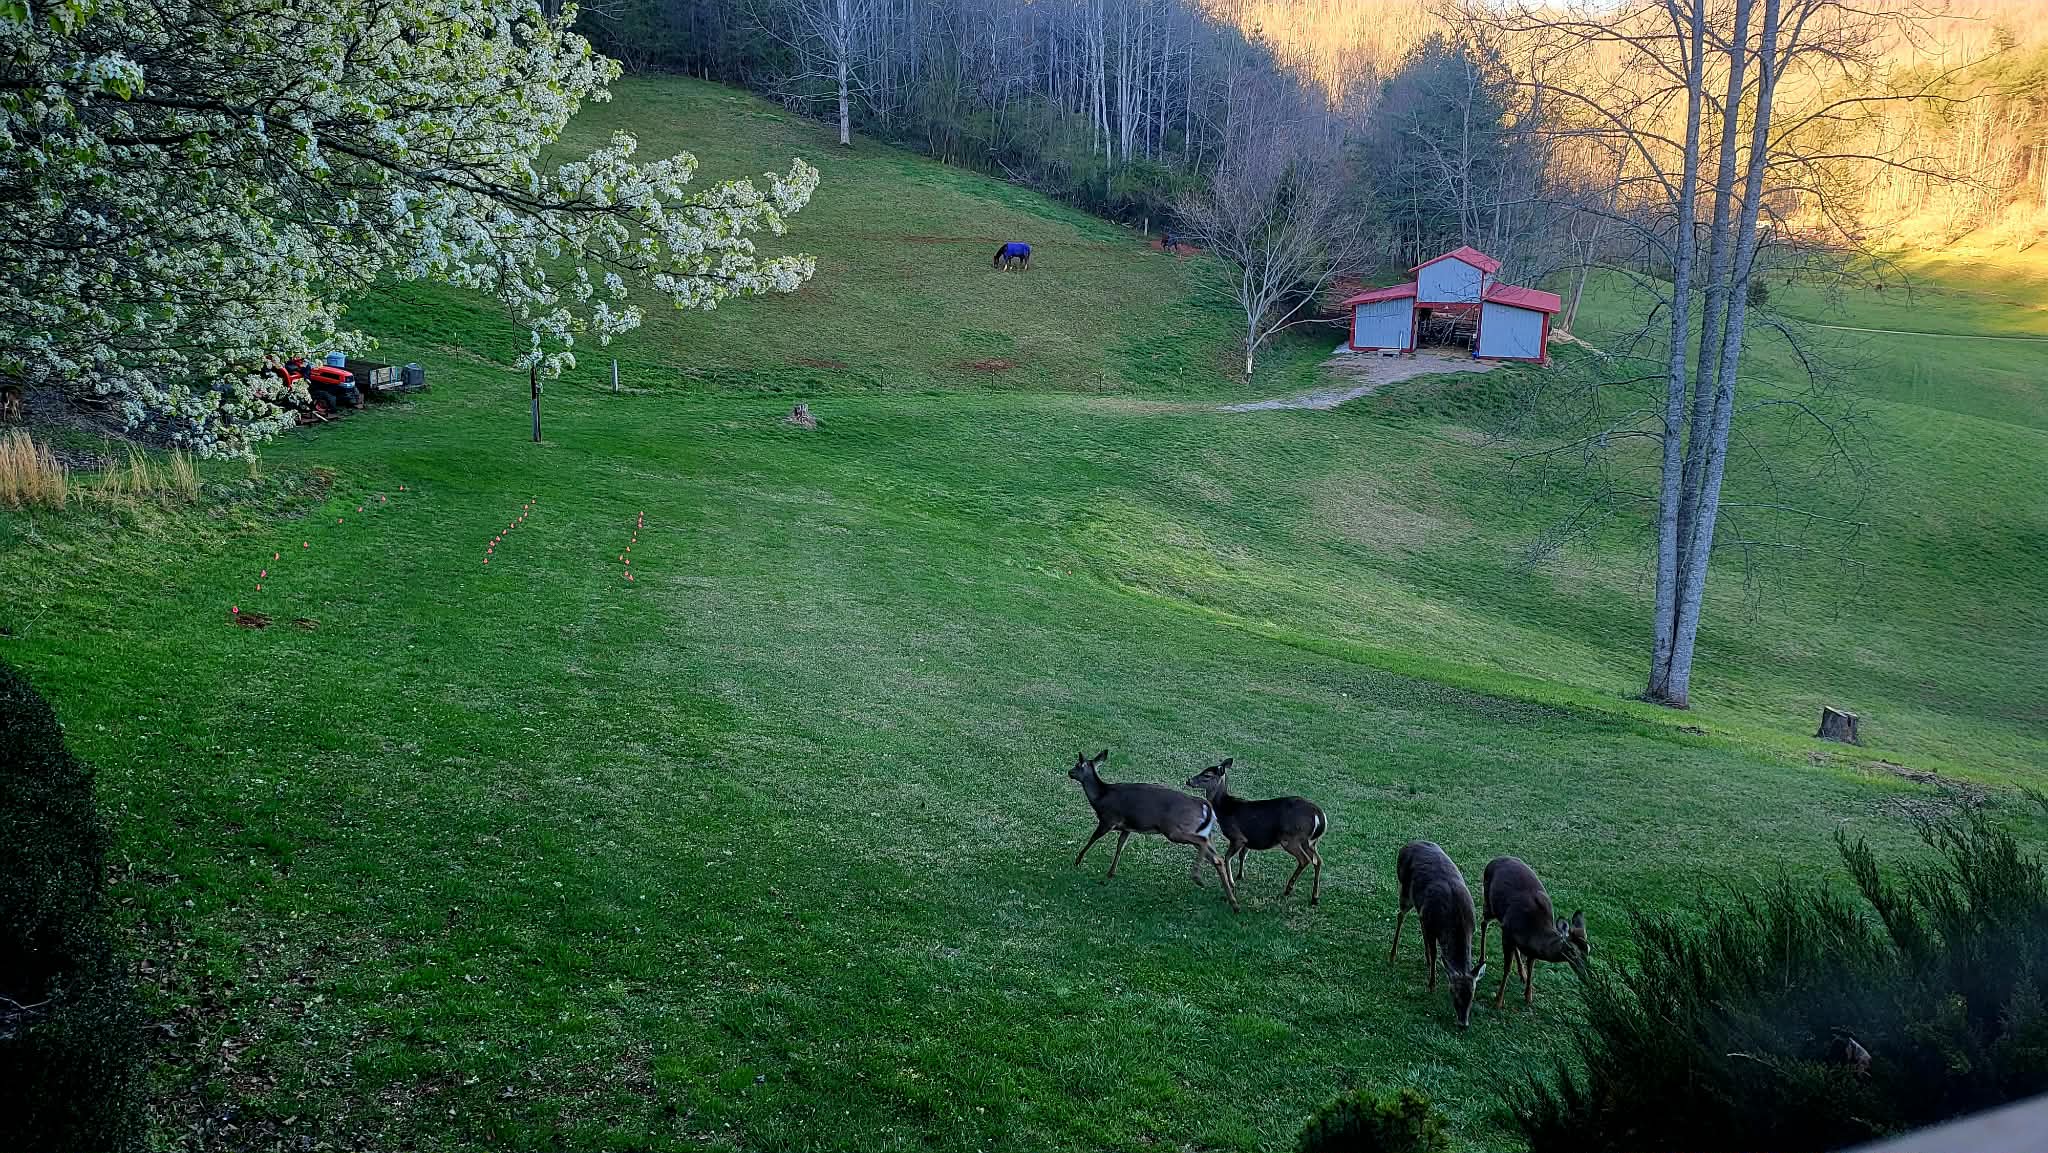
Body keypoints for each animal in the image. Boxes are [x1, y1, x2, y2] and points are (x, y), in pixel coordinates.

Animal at [1067, 750, 1238, 912]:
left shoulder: (1108, 820)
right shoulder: (1127, 827)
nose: (1069, 772)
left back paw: (1198, 878)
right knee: (1217, 858)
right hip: (1200, 832)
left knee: (1205, 845)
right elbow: (1120, 846)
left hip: (1174, 830)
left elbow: (1093, 838)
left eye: (1077, 765)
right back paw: (1234, 903)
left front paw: (1077, 860)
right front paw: (1111, 873)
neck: (1100, 797)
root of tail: (1206, 806)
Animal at [1183, 758, 1327, 904]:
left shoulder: (1237, 836)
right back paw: (1315, 897)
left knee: (1305, 860)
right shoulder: (1249, 838)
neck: (1224, 808)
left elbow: (1227, 857)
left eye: (1207, 775)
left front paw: (1232, 883)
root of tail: (1319, 816)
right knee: (1318, 860)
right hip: (1311, 842)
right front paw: (1240, 875)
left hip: (1291, 838)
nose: (1188, 780)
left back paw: (1288, 889)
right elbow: (1243, 855)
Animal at [1389, 840, 1485, 1027]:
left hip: (1420, 906)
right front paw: (1431, 985)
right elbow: (1435, 954)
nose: (1463, 1024)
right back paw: (1392, 955)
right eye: (1453, 993)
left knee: (1417, 920)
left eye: (1472, 996)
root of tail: (1406, 845)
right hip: (1404, 889)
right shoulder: (1432, 925)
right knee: (1400, 915)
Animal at [1478, 856, 1588, 1008]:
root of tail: (1494, 860)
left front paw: (1528, 996)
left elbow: (1531, 966)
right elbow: (1507, 968)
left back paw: (1522, 974)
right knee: (1483, 924)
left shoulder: (1525, 945)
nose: (1586, 975)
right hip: (1489, 903)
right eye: (1572, 950)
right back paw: (1482, 959)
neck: (1534, 931)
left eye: (1588, 949)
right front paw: (1498, 1001)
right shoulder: (1507, 932)